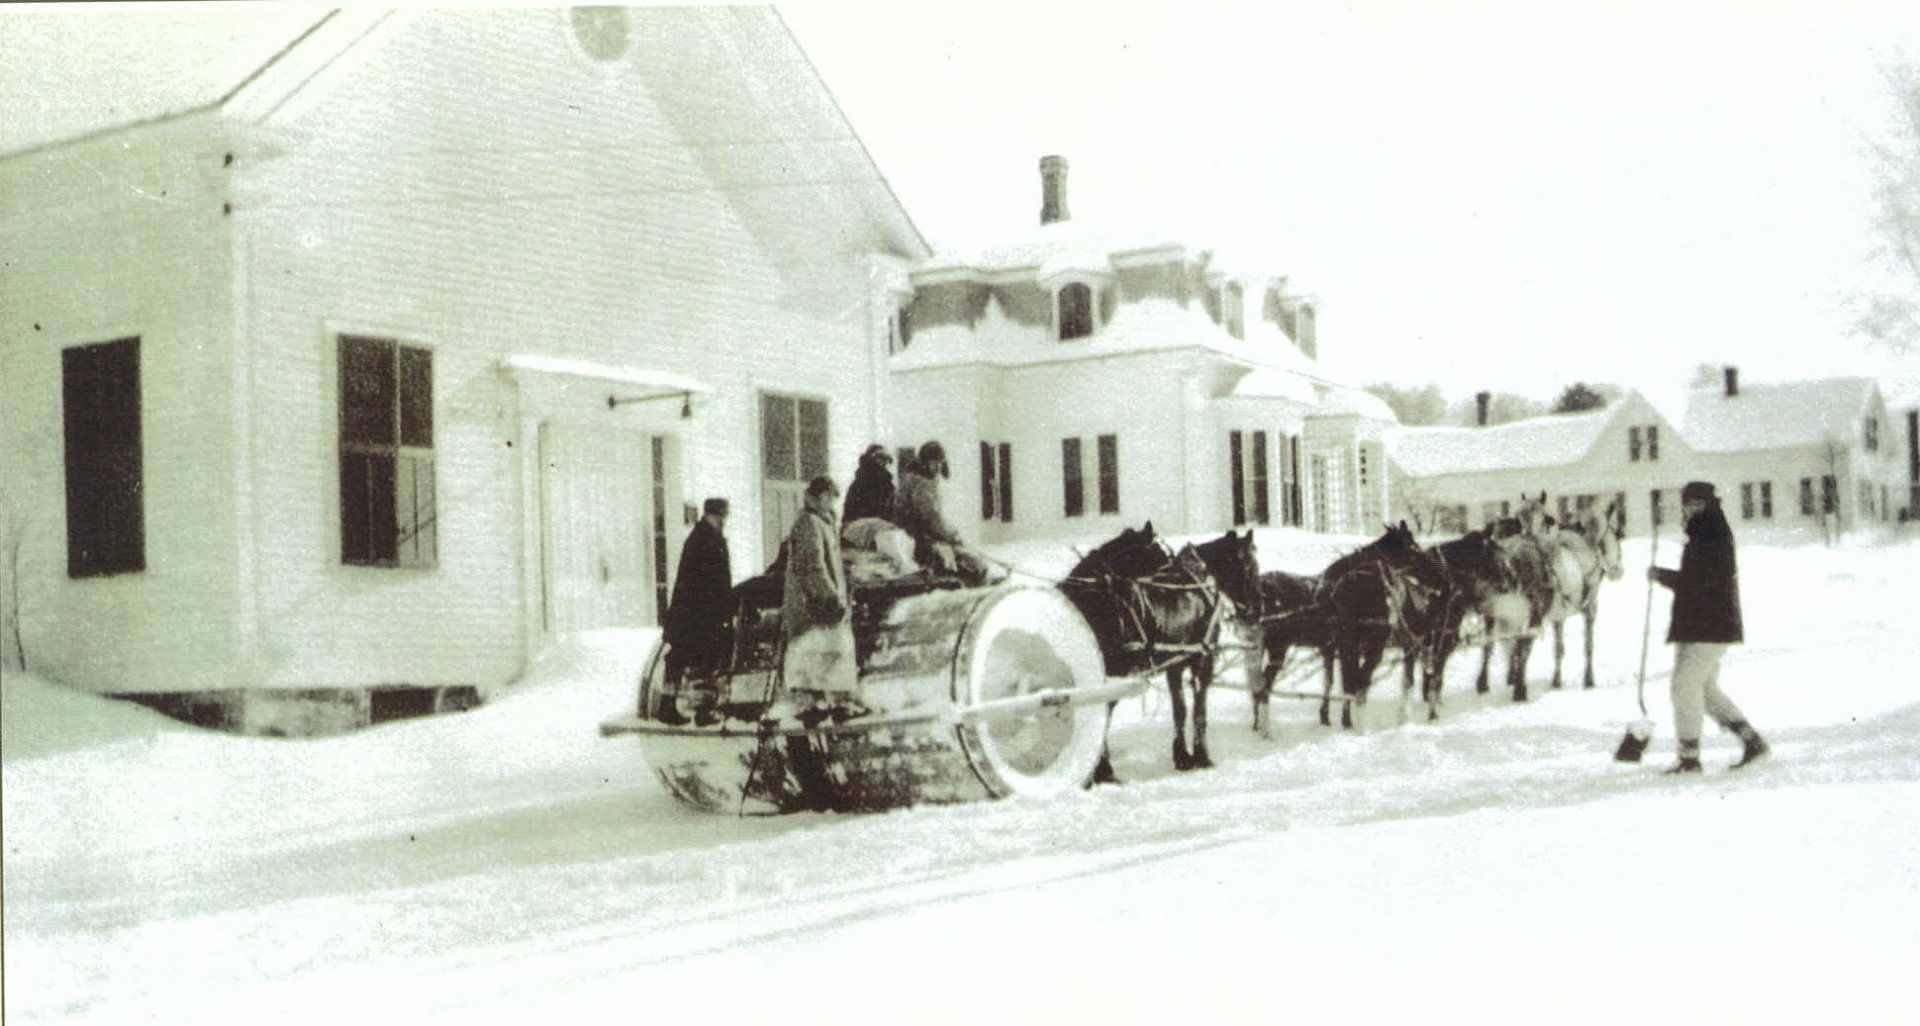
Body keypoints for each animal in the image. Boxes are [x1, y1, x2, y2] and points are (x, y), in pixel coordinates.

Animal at [1060, 523, 1229, 771]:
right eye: (1160, 553)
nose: (1177, 572)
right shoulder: (1203, 659)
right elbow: (1198, 709)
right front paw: (1201, 756)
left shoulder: (1176, 663)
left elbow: (1181, 709)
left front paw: (1183, 756)